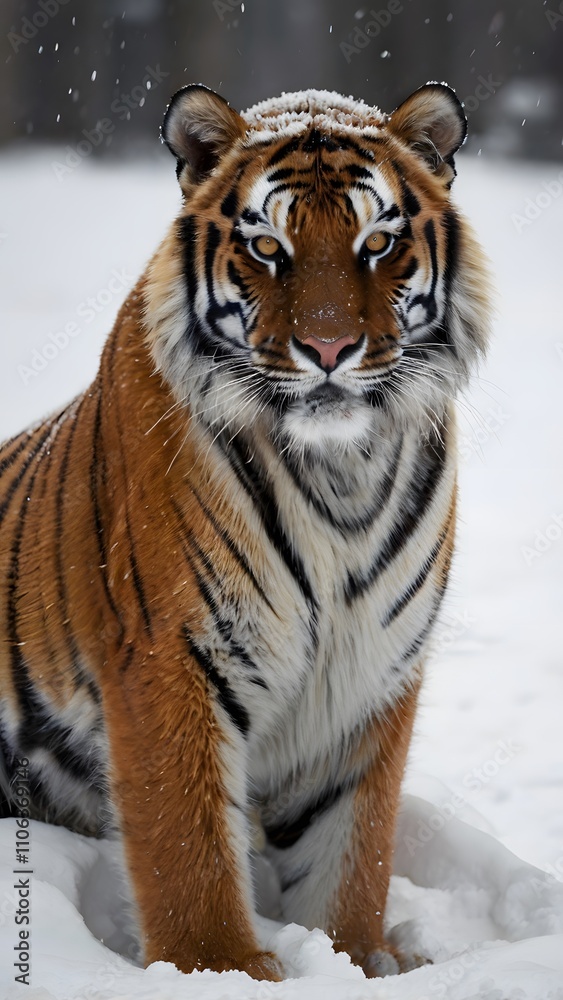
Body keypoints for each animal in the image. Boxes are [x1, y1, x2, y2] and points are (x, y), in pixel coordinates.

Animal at [0, 82, 490, 980]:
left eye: (376, 242)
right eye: (267, 246)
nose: (329, 348)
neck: (340, 474)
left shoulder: (368, 667)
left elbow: (352, 850)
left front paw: (354, 958)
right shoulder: (168, 652)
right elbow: (186, 846)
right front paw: (222, 969)